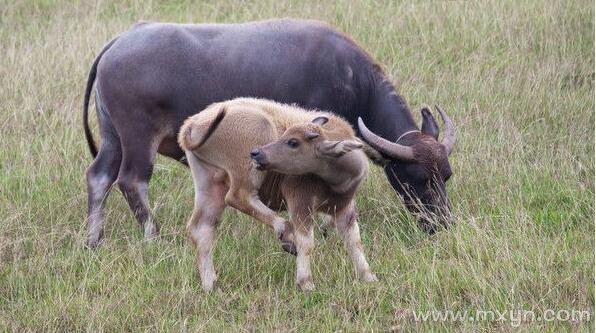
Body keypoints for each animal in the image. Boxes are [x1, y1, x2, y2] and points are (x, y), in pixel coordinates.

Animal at [82, 18, 456, 246]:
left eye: (446, 176)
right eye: (417, 178)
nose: (442, 223)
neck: (350, 79)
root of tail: (120, 42)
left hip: (113, 136)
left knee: (99, 177)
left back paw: (93, 240)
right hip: (138, 137)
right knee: (132, 180)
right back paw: (154, 237)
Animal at [177, 96, 374, 290]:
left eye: (293, 142)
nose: (256, 153)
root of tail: (193, 125)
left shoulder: (345, 209)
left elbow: (355, 241)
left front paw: (368, 276)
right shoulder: (300, 204)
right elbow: (307, 242)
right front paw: (306, 283)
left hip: (210, 184)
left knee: (201, 228)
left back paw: (210, 285)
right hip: (247, 166)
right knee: (239, 197)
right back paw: (286, 234)